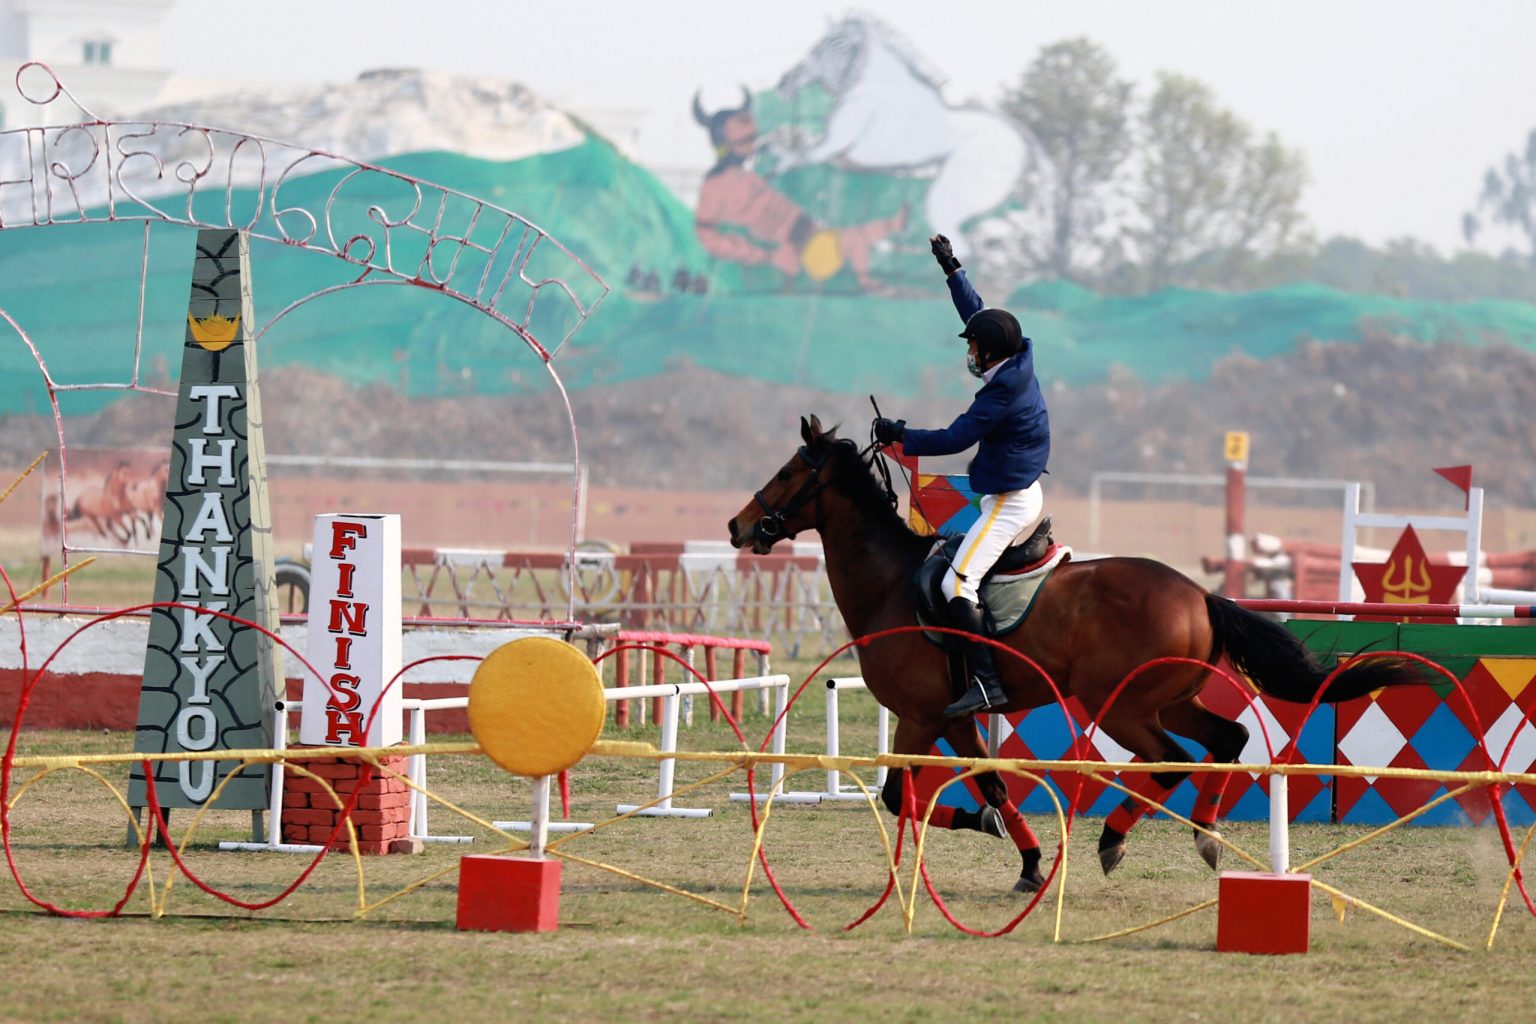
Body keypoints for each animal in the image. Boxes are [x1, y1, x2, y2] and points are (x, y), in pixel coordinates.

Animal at [724, 417, 1431, 896]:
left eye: (787, 473)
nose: (737, 527)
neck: (891, 584)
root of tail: (1199, 594)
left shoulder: (922, 718)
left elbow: (901, 796)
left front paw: (986, 828)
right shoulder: (958, 717)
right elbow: (994, 782)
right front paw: (1026, 859)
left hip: (1119, 706)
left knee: (1169, 759)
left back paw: (1116, 839)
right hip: (1169, 698)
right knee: (1224, 740)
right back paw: (1203, 833)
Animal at [768, 13, 1056, 260]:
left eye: (836, 42)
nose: (785, 82)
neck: (874, 87)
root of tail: (1022, 137)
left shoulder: (836, 145)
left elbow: (804, 155)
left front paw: (776, 158)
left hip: (948, 196)